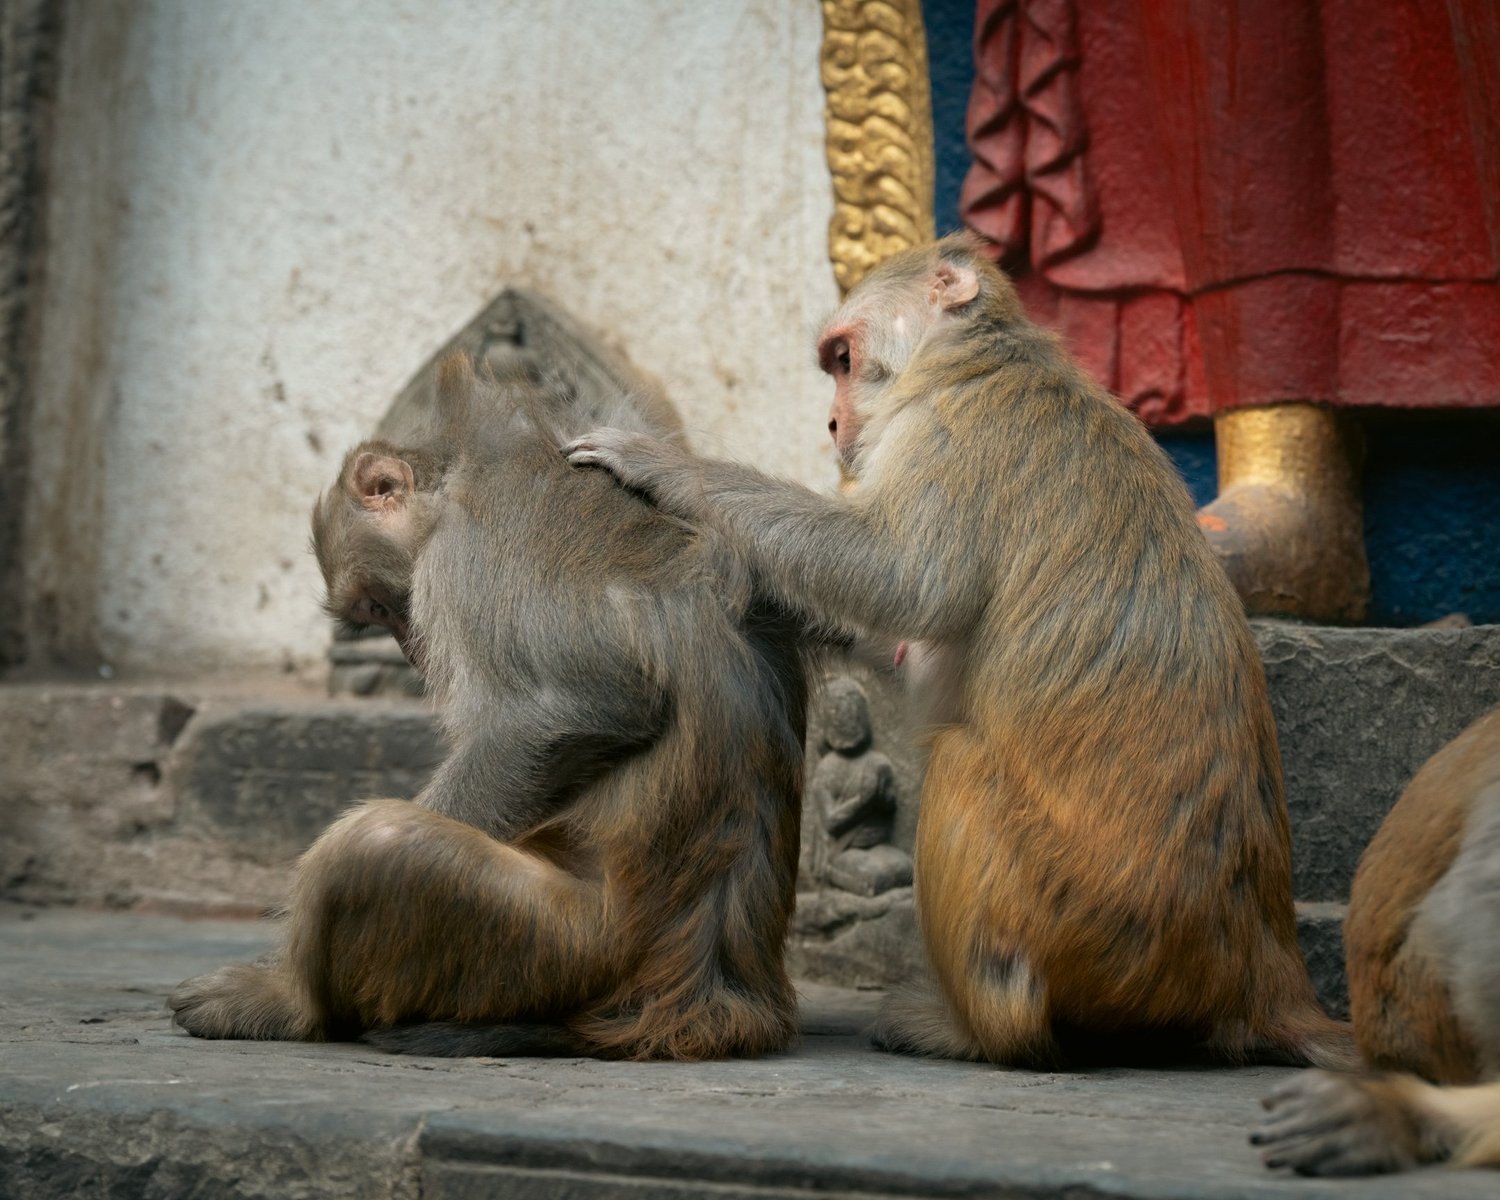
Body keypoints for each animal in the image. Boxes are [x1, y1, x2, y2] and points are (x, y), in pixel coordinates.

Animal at [168, 354, 815, 1061]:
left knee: (375, 844)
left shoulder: (467, 551)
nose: (410, 649)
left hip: (558, 947)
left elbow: (591, 702)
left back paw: (289, 1005)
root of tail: (707, 1002)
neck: (466, 468)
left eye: (377, 606)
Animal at [563, 231, 1352, 1070]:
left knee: (961, 761)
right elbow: (902, 636)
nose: (834, 425)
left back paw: (974, 1030)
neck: (975, 356)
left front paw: (670, 470)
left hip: (1090, 930)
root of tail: (1260, 971)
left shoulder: (949, 431)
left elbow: (904, 579)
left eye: (843, 359)